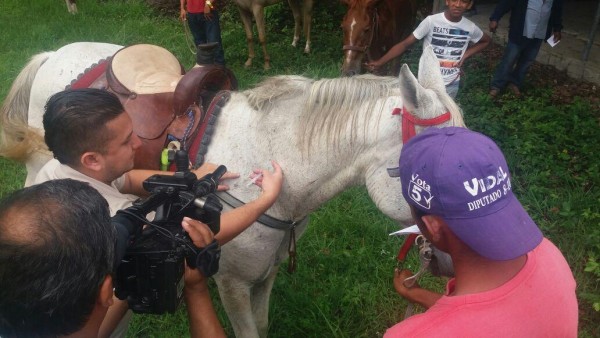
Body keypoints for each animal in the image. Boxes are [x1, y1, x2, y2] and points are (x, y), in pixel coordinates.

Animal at [0, 43, 464, 338]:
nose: (450, 257)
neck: (275, 159)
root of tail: (54, 54)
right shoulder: (233, 283)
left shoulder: (266, 274)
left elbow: (262, 325)